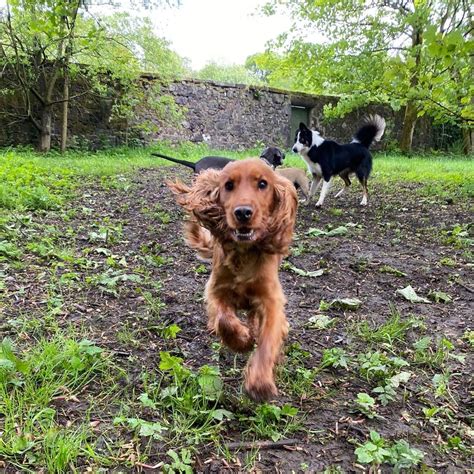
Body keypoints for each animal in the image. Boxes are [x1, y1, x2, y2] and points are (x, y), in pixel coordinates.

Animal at [168, 159, 298, 400]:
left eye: (263, 184)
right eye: (228, 185)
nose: (243, 213)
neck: (244, 253)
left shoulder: (271, 300)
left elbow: (268, 340)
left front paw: (260, 383)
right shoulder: (216, 290)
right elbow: (224, 321)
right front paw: (242, 340)